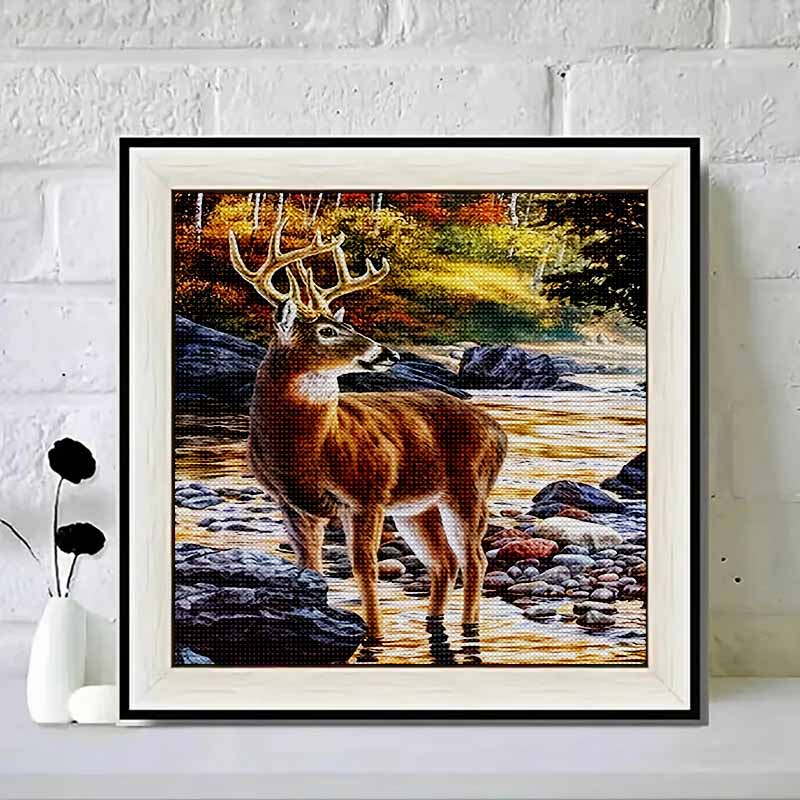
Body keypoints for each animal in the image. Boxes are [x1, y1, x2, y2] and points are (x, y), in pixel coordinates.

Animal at [228, 208, 507, 643]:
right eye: (327, 330)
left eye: (350, 325)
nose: (386, 352)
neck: (309, 449)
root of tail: (498, 431)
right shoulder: (291, 503)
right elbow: (309, 568)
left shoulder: (367, 495)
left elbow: (364, 568)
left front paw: (373, 636)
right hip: (417, 506)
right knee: (444, 562)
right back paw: (433, 623)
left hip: (469, 488)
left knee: (475, 559)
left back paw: (469, 627)